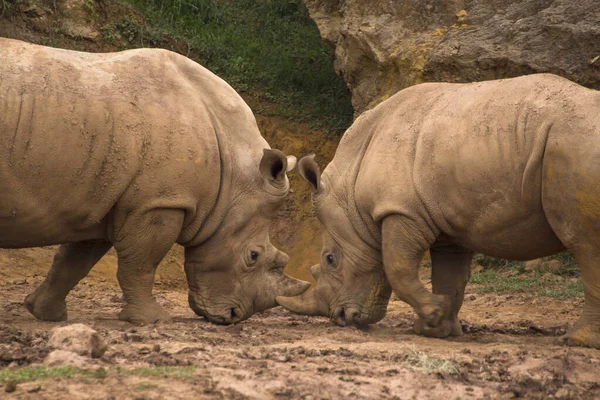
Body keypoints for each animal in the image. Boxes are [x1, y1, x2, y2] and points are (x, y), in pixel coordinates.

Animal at [0, 37, 310, 324]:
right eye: (253, 256)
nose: (234, 316)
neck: (235, 171)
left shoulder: (103, 200)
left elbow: (74, 260)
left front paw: (46, 314)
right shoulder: (159, 202)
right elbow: (141, 264)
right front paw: (153, 320)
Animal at [278, 74, 600, 346]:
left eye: (330, 259)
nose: (343, 319)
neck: (350, 194)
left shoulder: (400, 210)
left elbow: (398, 267)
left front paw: (434, 314)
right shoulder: (450, 226)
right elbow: (450, 276)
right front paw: (437, 328)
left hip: (572, 145)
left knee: (584, 244)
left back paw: (577, 341)